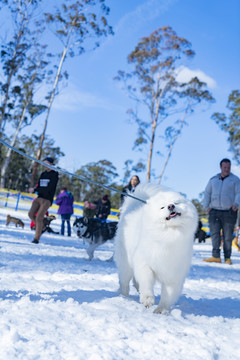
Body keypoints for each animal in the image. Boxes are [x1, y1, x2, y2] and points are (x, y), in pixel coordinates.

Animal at [115, 184, 199, 314]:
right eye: (162, 207)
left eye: (176, 202)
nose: (171, 206)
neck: (169, 236)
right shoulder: (144, 263)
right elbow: (146, 281)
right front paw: (147, 299)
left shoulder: (174, 273)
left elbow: (168, 295)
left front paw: (161, 310)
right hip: (126, 262)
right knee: (124, 280)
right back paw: (125, 296)